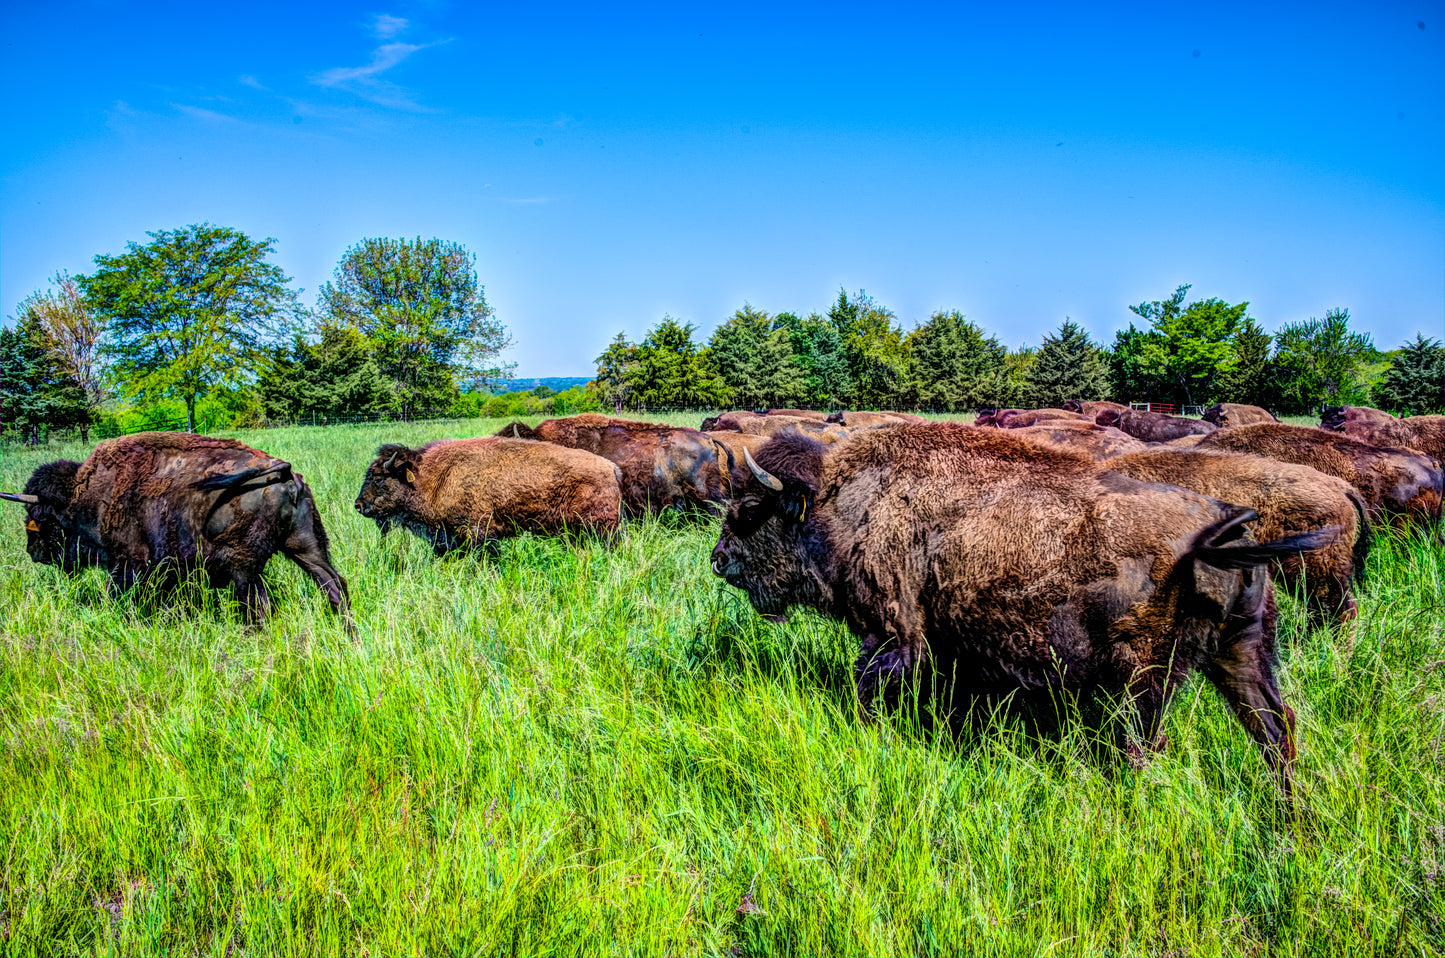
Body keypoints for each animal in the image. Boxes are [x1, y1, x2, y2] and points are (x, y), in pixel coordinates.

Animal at [1, 432, 349, 625]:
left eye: (38, 517)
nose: (34, 552)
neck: (85, 495)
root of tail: (283, 472)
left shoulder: (128, 565)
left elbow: (121, 594)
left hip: (244, 567)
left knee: (258, 604)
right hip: (306, 547)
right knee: (334, 586)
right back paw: (348, 634)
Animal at [354, 438, 623, 555]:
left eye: (378, 478)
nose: (358, 505)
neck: (435, 477)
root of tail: (611, 467)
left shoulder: (477, 532)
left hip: (603, 529)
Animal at [711, 424, 1332, 796]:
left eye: (750, 510)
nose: (718, 561)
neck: (847, 505)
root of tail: (1222, 532)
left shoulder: (893, 634)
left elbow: (868, 685)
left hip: (1147, 674)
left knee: (1144, 744)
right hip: (1241, 654)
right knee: (1275, 729)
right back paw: (1286, 812)